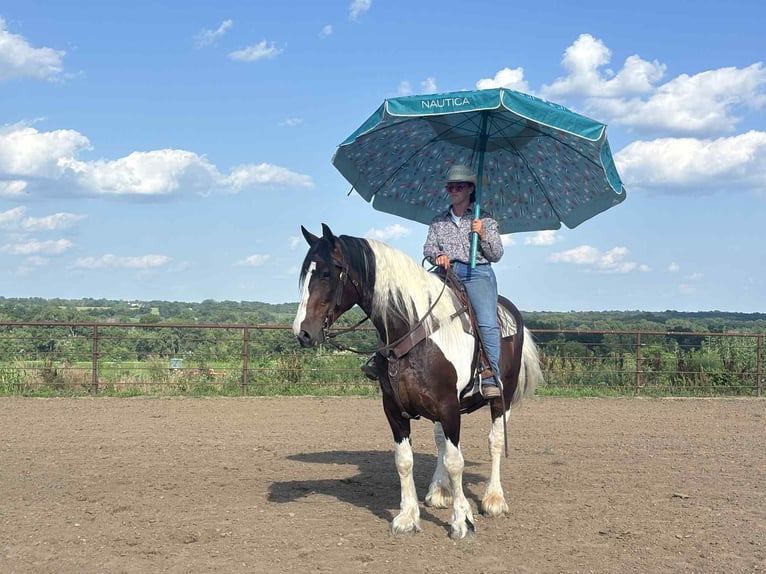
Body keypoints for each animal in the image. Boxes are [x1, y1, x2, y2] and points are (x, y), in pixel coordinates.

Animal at [292, 223, 544, 539]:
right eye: (305, 273)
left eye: (327, 273)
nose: (302, 332)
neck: (414, 330)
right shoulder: (393, 409)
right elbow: (405, 460)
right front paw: (407, 517)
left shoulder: (449, 408)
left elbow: (456, 462)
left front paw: (462, 521)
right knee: (440, 443)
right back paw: (439, 491)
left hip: (502, 396)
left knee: (495, 440)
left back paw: (494, 498)